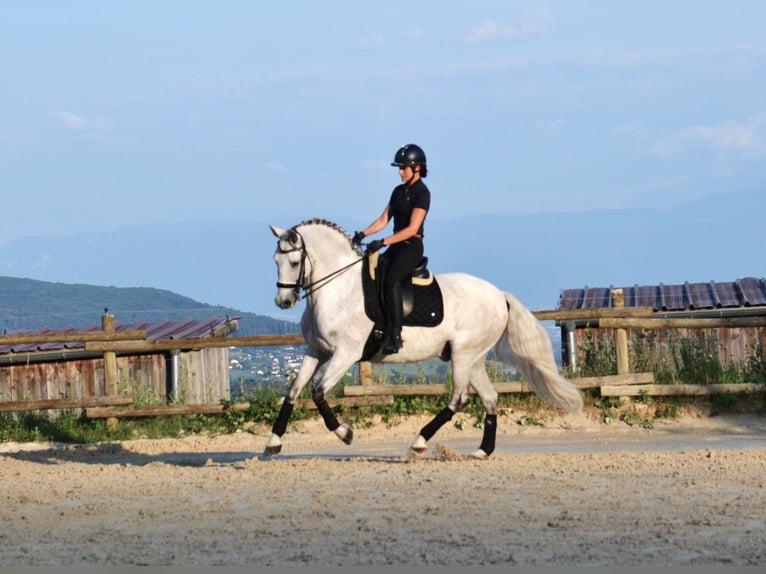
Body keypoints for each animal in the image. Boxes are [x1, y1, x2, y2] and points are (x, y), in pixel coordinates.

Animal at [264, 218, 584, 462]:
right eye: (275, 260)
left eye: (294, 261)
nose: (283, 301)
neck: (338, 289)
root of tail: (499, 295)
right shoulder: (316, 350)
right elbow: (293, 392)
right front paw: (272, 443)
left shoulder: (346, 353)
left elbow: (318, 393)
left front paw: (346, 434)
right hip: (473, 358)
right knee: (490, 398)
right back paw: (482, 451)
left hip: (463, 354)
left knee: (459, 399)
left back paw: (418, 442)